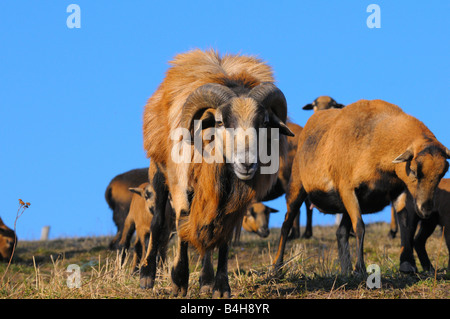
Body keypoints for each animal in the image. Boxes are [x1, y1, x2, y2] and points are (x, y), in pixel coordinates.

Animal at [142, 49, 294, 298]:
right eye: (221, 122)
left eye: (264, 122)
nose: (247, 163)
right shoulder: (182, 185)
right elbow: (182, 223)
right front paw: (179, 281)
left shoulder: (232, 203)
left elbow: (222, 237)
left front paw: (220, 287)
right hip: (158, 169)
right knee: (159, 221)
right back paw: (146, 275)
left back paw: (205, 280)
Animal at [272, 99, 448, 276]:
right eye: (413, 170)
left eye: (442, 173)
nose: (426, 210)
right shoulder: (348, 189)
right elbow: (360, 227)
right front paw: (361, 268)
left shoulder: (398, 191)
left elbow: (405, 226)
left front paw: (407, 264)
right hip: (297, 185)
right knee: (286, 224)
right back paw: (277, 266)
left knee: (341, 232)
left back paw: (346, 271)